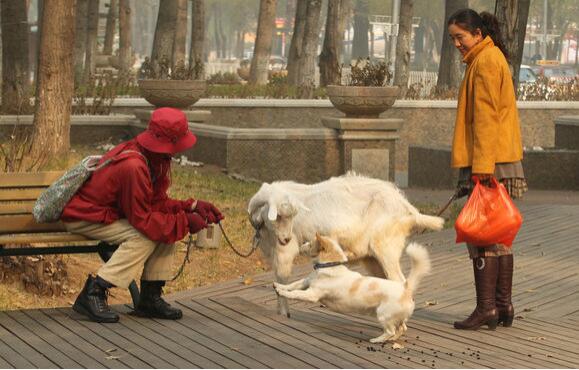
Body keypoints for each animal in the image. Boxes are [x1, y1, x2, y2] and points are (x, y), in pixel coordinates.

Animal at [248, 172, 444, 316]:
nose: (286, 238)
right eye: (279, 215)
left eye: (288, 216)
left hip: (385, 246)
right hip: (372, 258)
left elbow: (281, 277)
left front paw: (283, 313)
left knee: (400, 280)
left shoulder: (284, 252)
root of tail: (408, 208)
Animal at [276, 230, 430, 342]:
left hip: (383, 315)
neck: (329, 266)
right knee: (401, 329)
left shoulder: (311, 294)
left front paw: (283, 293)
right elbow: (292, 285)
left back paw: (377, 340)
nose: (301, 244)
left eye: (309, 244)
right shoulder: (305, 282)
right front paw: (278, 286)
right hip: (395, 317)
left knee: (390, 331)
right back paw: (391, 340)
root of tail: (406, 288)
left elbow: (296, 293)